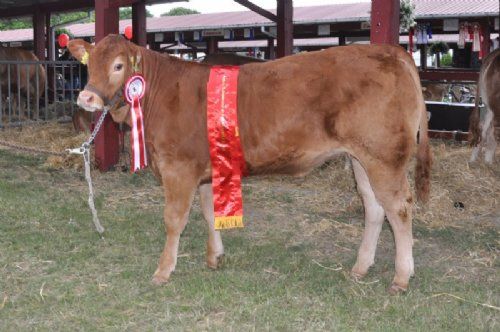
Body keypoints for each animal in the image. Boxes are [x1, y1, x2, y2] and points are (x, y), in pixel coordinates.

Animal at [68, 34, 432, 294]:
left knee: (400, 208)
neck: (161, 92)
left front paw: (163, 270)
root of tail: (392, 52)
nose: (86, 98)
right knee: (374, 207)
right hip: (361, 157)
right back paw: (361, 267)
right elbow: (208, 211)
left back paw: (401, 277)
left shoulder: (177, 167)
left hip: (384, 156)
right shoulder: (204, 169)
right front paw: (214, 256)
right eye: (89, 64)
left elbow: (174, 220)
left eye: (118, 66)